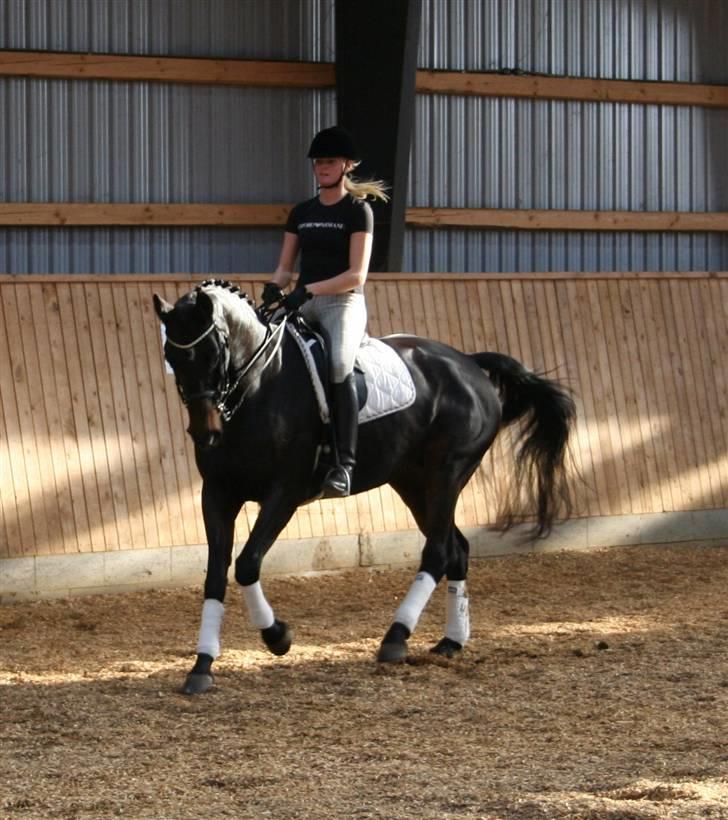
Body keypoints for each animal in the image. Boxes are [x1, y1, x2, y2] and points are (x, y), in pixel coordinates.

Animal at [152, 280, 576, 692]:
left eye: (213, 353)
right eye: (172, 356)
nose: (206, 433)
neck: (258, 387)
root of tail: (468, 363)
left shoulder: (284, 493)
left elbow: (246, 564)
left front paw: (277, 636)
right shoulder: (218, 494)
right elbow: (215, 574)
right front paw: (202, 665)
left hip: (447, 473)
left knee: (438, 551)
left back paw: (396, 638)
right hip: (412, 482)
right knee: (457, 549)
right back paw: (450, 642)